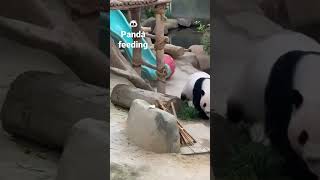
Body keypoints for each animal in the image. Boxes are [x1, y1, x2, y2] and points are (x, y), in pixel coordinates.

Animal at [226, 32, 320, 180]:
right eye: (303, 136)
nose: (313, 159)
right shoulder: (281, 87)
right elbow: (280, 131)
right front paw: (297, 169)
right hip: (245, 90)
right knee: (238, 111)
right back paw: (257, 133)